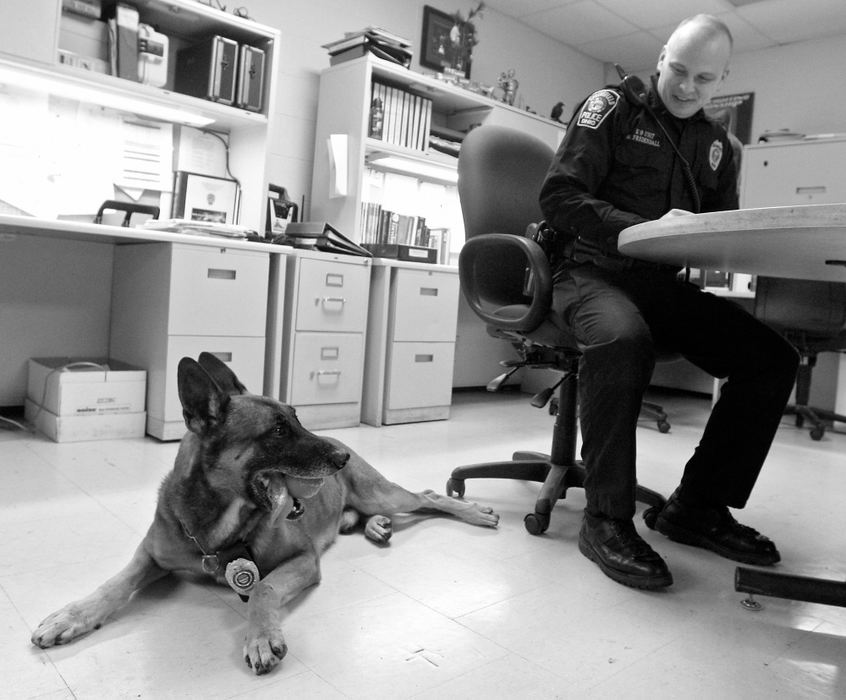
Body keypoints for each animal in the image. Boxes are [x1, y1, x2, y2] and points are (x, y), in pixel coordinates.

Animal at [31, 352, 496, 676]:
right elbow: (112, 585)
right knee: (379, 512)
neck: (216, 525)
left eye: (297, 418)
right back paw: (377, 528)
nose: (341, 458)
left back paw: (473, 511)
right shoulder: (151, 555)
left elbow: (263, 589)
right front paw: (70, 616)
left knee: (428, 495)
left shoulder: (303, 560)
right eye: (277, 430)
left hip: (383, 494)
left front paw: (260, 637)